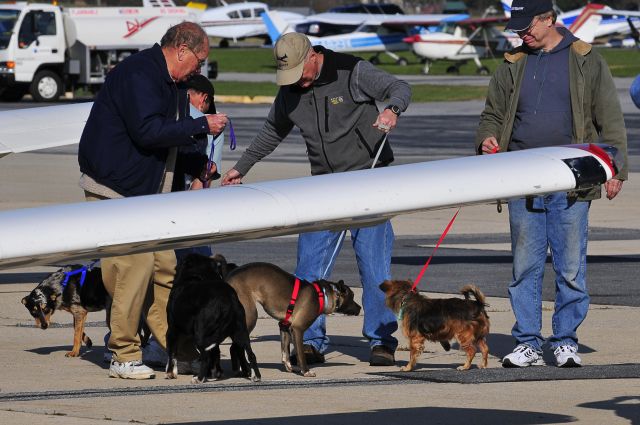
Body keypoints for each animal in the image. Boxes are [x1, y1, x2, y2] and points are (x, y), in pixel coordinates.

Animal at [165, 253, 260, 382]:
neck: (194, 276)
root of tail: (228, 300)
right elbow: (216, 354)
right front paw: (215, 373)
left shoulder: (172, 329)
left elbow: (172, 353)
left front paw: (170, 373)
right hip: (240, 333)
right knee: (251, 354)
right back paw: (256, 377)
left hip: (200, 334)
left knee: (205, 357)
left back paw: (199, 378)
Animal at [226, 262, 360, 378]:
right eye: (352, 296)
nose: (359, 308)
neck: (322, 295)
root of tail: (228, 279)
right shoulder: (297, 329)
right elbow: (300, 354)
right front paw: (305, 371)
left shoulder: (284, 326)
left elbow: (285, 351)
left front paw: (289, 367)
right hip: (250, 317)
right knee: (235, 347)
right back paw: (245, 370)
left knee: (234, 348)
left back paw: (240, 370)